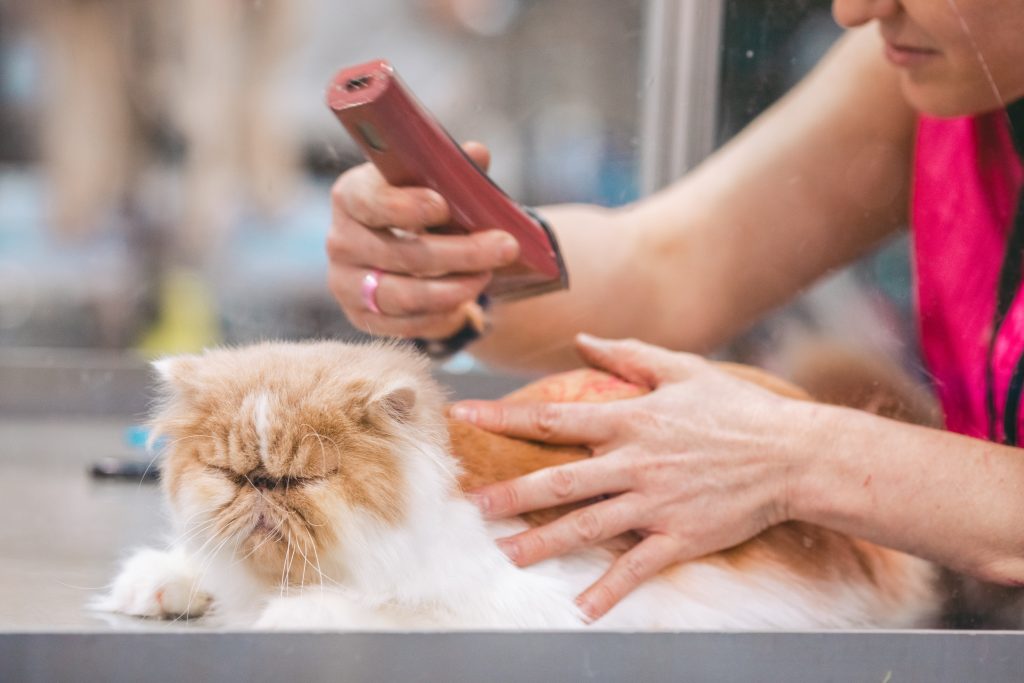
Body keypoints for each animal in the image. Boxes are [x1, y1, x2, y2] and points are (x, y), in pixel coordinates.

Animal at [96, 339, 937, 630]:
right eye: (233, 473)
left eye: (305, 476)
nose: (263, 487)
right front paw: (164, 586)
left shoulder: (519, 595)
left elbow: (361, 608)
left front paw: (288, 612)